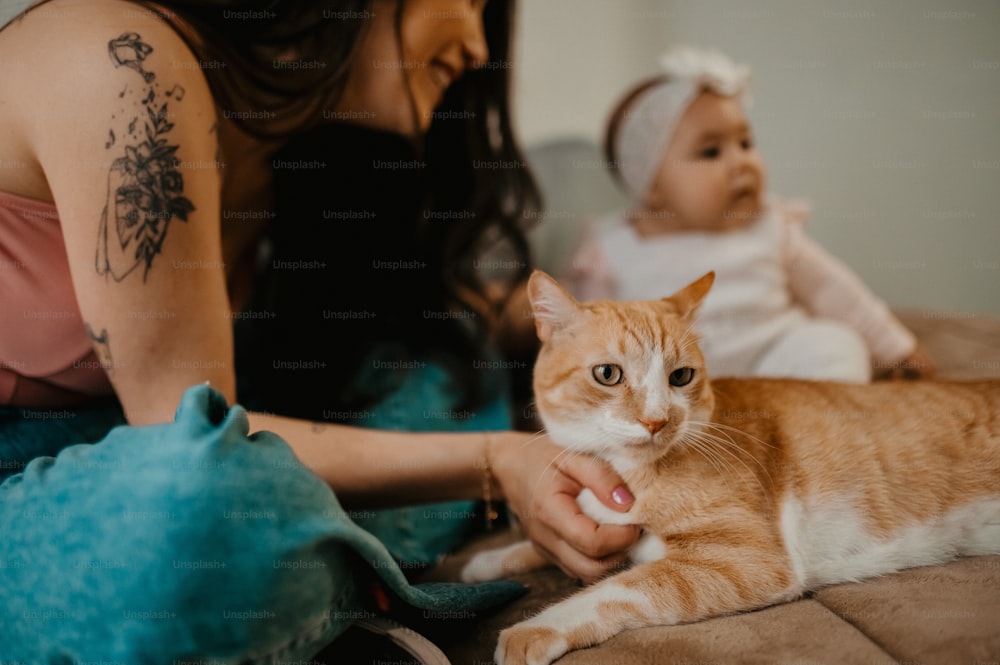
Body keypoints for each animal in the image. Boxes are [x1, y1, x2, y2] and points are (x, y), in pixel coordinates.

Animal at [462, 268, 1000, 664]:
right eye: (608, 374)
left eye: (681, 377)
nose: (657, 420)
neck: (628, 474)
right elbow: (542, 548)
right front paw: (488, 561)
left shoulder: (742, 559)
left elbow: (620, 588)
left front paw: (534, 627)